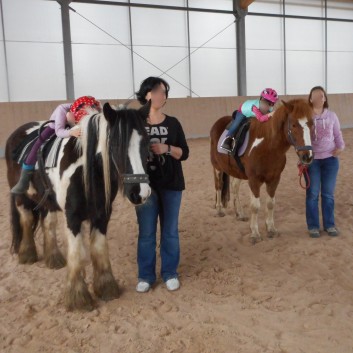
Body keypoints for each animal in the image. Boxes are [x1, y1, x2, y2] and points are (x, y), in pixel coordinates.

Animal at [5, 101, 151, 308]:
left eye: (146, 142)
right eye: (115, 144)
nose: (141, 193)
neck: (86, 169)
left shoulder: (102, 215)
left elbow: (98, 248)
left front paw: (106, 287)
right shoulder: (72, 216)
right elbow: (76, 252)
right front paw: (78, 298)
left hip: (47, 202)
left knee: (48, 224)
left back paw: (54, 259)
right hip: (21, 198)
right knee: (26, 220)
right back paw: (27, 254)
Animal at [209, 99, 314, 242]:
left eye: (312, 124)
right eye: (293, 125)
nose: (307, 156)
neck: (267, 146)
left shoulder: (274, 179)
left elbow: (270, 203)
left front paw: (271, 229)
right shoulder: (254, 180)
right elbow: (255, 206)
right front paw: (254, 233)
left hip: (237, 171)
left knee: (235, 187)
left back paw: (239, 213)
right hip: (217, 167)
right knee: (218, 186)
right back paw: (219, 210)